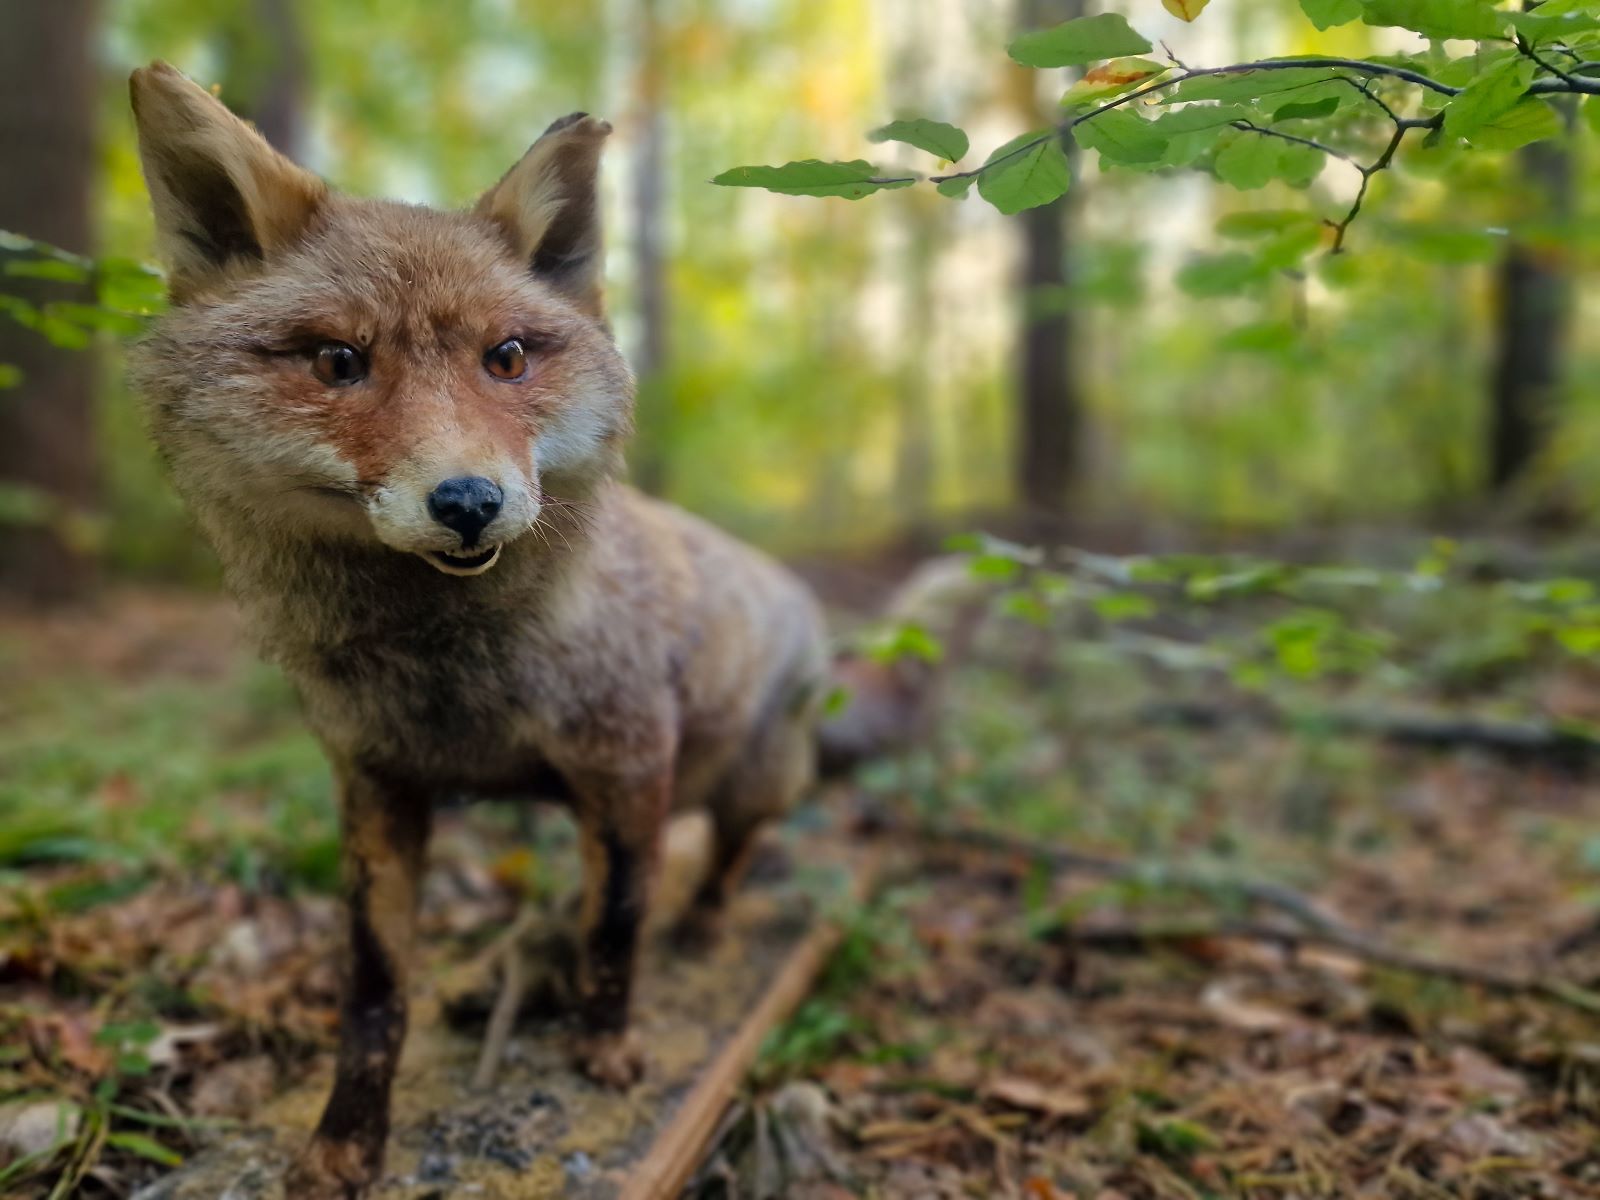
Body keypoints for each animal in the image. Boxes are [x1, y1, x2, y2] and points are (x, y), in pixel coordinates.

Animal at [124, 61, 937, 1199]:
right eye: (337, 362)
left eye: (505, 358)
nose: (470, 502)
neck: (456, 680)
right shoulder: (377, 788)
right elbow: (374, 994)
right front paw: (345, 1140)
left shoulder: (627, 763)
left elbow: (617, 925)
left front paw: (608, 1046)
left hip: (750, 778)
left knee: (728, 853)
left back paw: (700, 922)